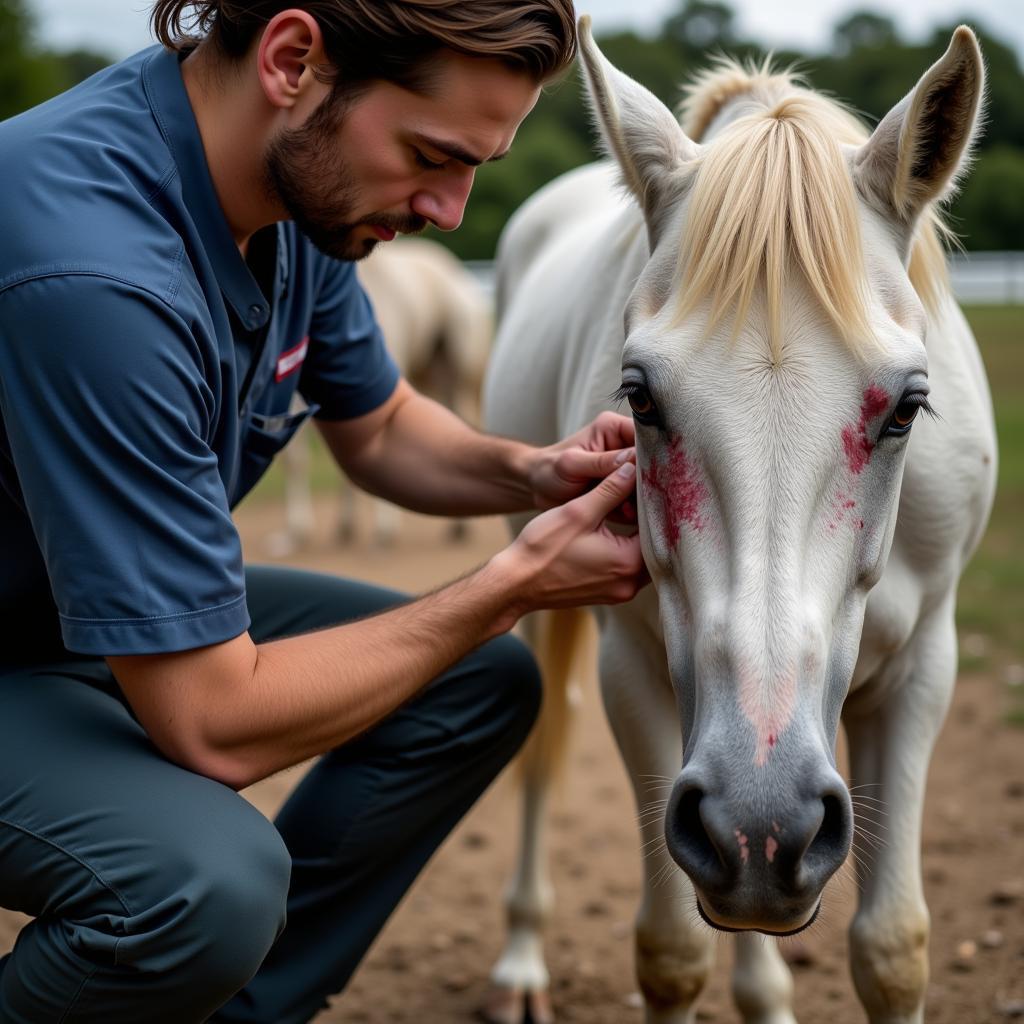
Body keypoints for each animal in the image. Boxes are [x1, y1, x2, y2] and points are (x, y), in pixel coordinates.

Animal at [276, 234, 491, 552]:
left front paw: (383, 529)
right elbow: (299, 458)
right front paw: (300, 531)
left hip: (457, 376)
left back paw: (460, 527)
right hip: (427, 376)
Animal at [483, 16, 995, 1024]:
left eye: (909, 406)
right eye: (639, 396)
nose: (764, 822)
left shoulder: (921, 671)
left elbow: (892, 948)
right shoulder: (635, 672)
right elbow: (673, 949)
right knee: (542, 759)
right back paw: (519, 961)